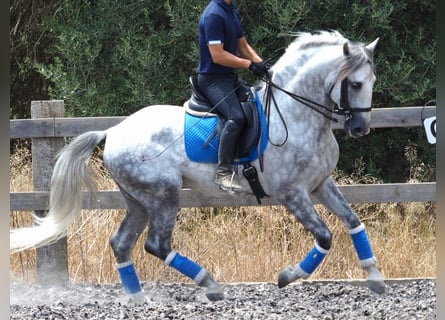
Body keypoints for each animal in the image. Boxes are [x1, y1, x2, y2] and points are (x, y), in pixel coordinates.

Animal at [12, 31, 384, 302]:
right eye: (354, 84)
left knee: (121, 243)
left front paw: (375, 277)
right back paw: (210, 284)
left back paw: (137, 297)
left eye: (372, 82)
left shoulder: (321, 184)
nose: (359, 129)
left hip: (138, 200)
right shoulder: (292, 193)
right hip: (163, 195)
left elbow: (353, 221)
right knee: (156, 245)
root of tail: (113, 130)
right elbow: (324, 236)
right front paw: (287, 276)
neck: (297, 115)